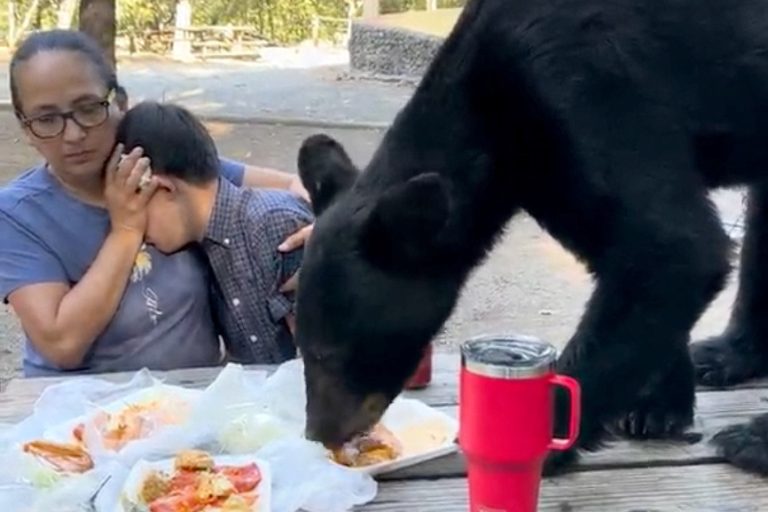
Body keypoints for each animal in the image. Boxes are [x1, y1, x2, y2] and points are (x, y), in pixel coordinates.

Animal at [292, 0, 768, 474]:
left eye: (328, 353)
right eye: (303, 345)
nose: (319, 432)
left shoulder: (584, 90)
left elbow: (672, 248)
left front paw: (542, 440)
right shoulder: (548, 172)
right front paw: (657, 405)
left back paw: (751, 439)